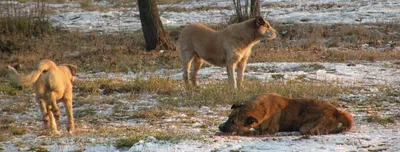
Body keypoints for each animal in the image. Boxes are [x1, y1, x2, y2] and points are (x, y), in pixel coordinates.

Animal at [219, 94, 354, 135]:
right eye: (228, 117)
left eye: (233, 122)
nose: (220, 127)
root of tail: (336, 111)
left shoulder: (269, 130)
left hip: (307, 127)